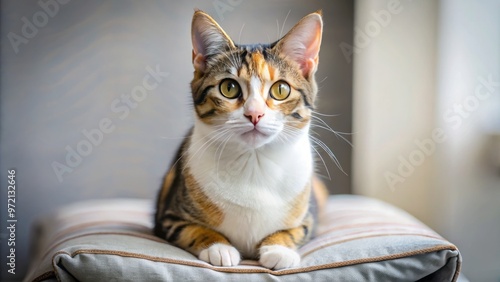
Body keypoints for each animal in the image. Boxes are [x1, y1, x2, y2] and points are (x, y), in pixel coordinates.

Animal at [156, 9, 328, 270]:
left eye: (281, 90)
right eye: (229, 87)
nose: (254, 114)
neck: (254, 162)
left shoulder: (310, 216)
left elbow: (296, 230)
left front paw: (279, 248)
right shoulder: (169, 216)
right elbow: (192, 229)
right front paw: (218, 247)